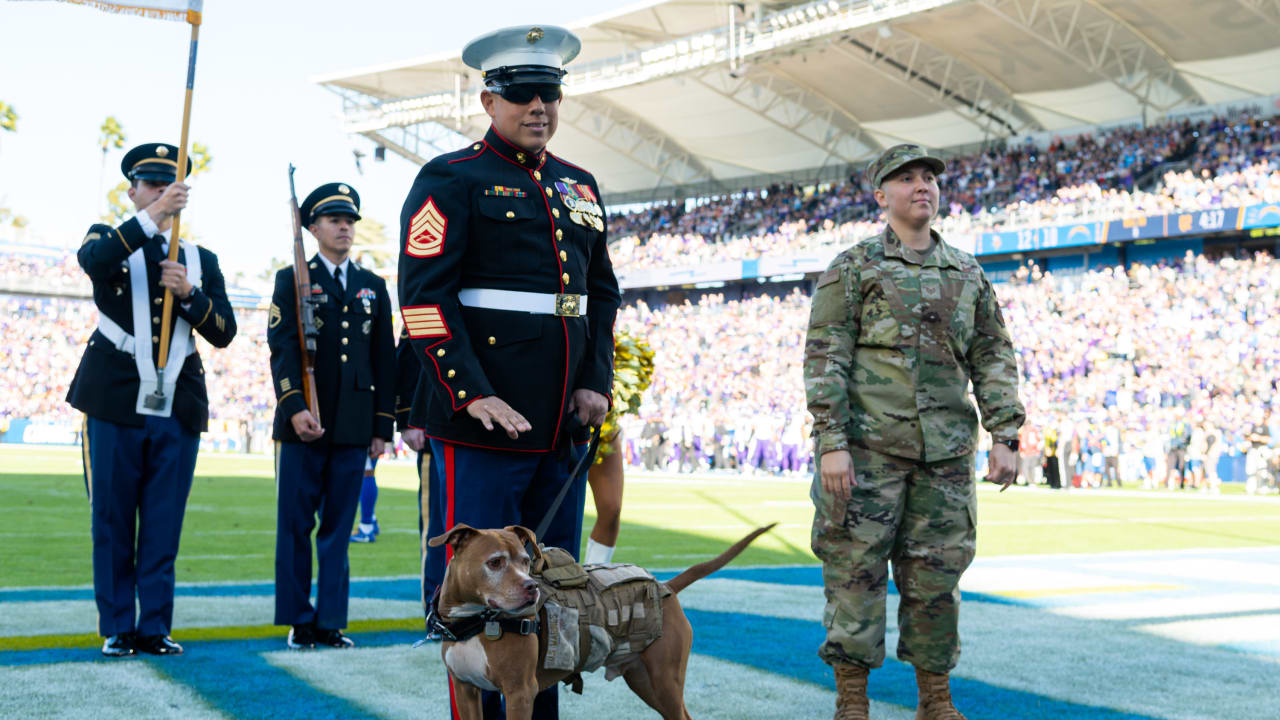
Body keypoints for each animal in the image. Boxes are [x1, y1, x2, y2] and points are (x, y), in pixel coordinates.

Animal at [424, 520, 773, 717]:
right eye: (495, 562)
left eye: (525, 561)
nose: (531, 587)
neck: (473, 623)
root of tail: (665, 587)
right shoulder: (466, 690)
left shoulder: (520, 693)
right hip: (645, 681)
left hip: (666, 680)